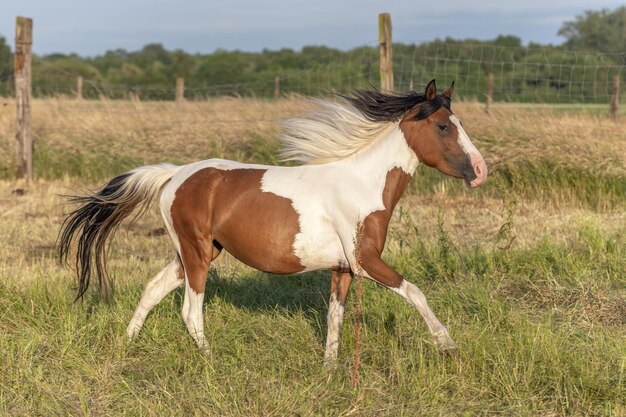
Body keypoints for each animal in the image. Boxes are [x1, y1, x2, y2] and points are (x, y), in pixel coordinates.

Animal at [57, 79, 488, 362]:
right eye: (443, 126)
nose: (480, 171)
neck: (363, 183)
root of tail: (176, 174)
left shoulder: (343, 268)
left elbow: (334, 318)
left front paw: (329, 370)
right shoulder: (366, 262)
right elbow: (416, 292)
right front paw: (449, 346)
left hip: (195, 252)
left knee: (152, 289)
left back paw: (126, 344)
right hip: (196, 255)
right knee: (190, 311)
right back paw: (211, 360)